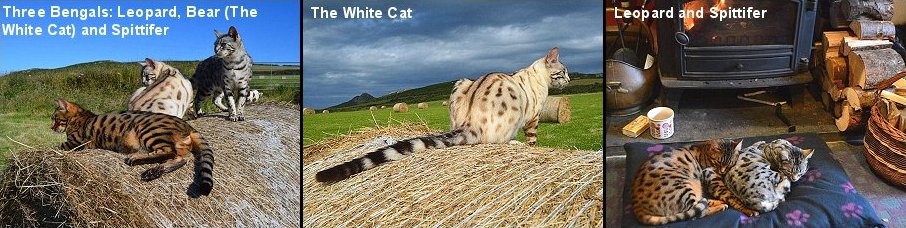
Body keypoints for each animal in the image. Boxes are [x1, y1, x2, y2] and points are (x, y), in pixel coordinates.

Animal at [52, 98, 214, 196]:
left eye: (55, 118)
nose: (51, 127)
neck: (79, 117)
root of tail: (188, 125)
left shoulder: (76, 142)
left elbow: (55, 146)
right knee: (180, 159)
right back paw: (152, 172)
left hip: (148, 130)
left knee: (168, 151)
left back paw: (136, 159)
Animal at [318, 47, 568, 183]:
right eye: (563, 72)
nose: (568, 80)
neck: (536, 74)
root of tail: (469, 123)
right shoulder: (533, 117)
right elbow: (533, 139)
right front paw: (533, 148)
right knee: (495, 140)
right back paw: (514, 143)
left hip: (460, 84)